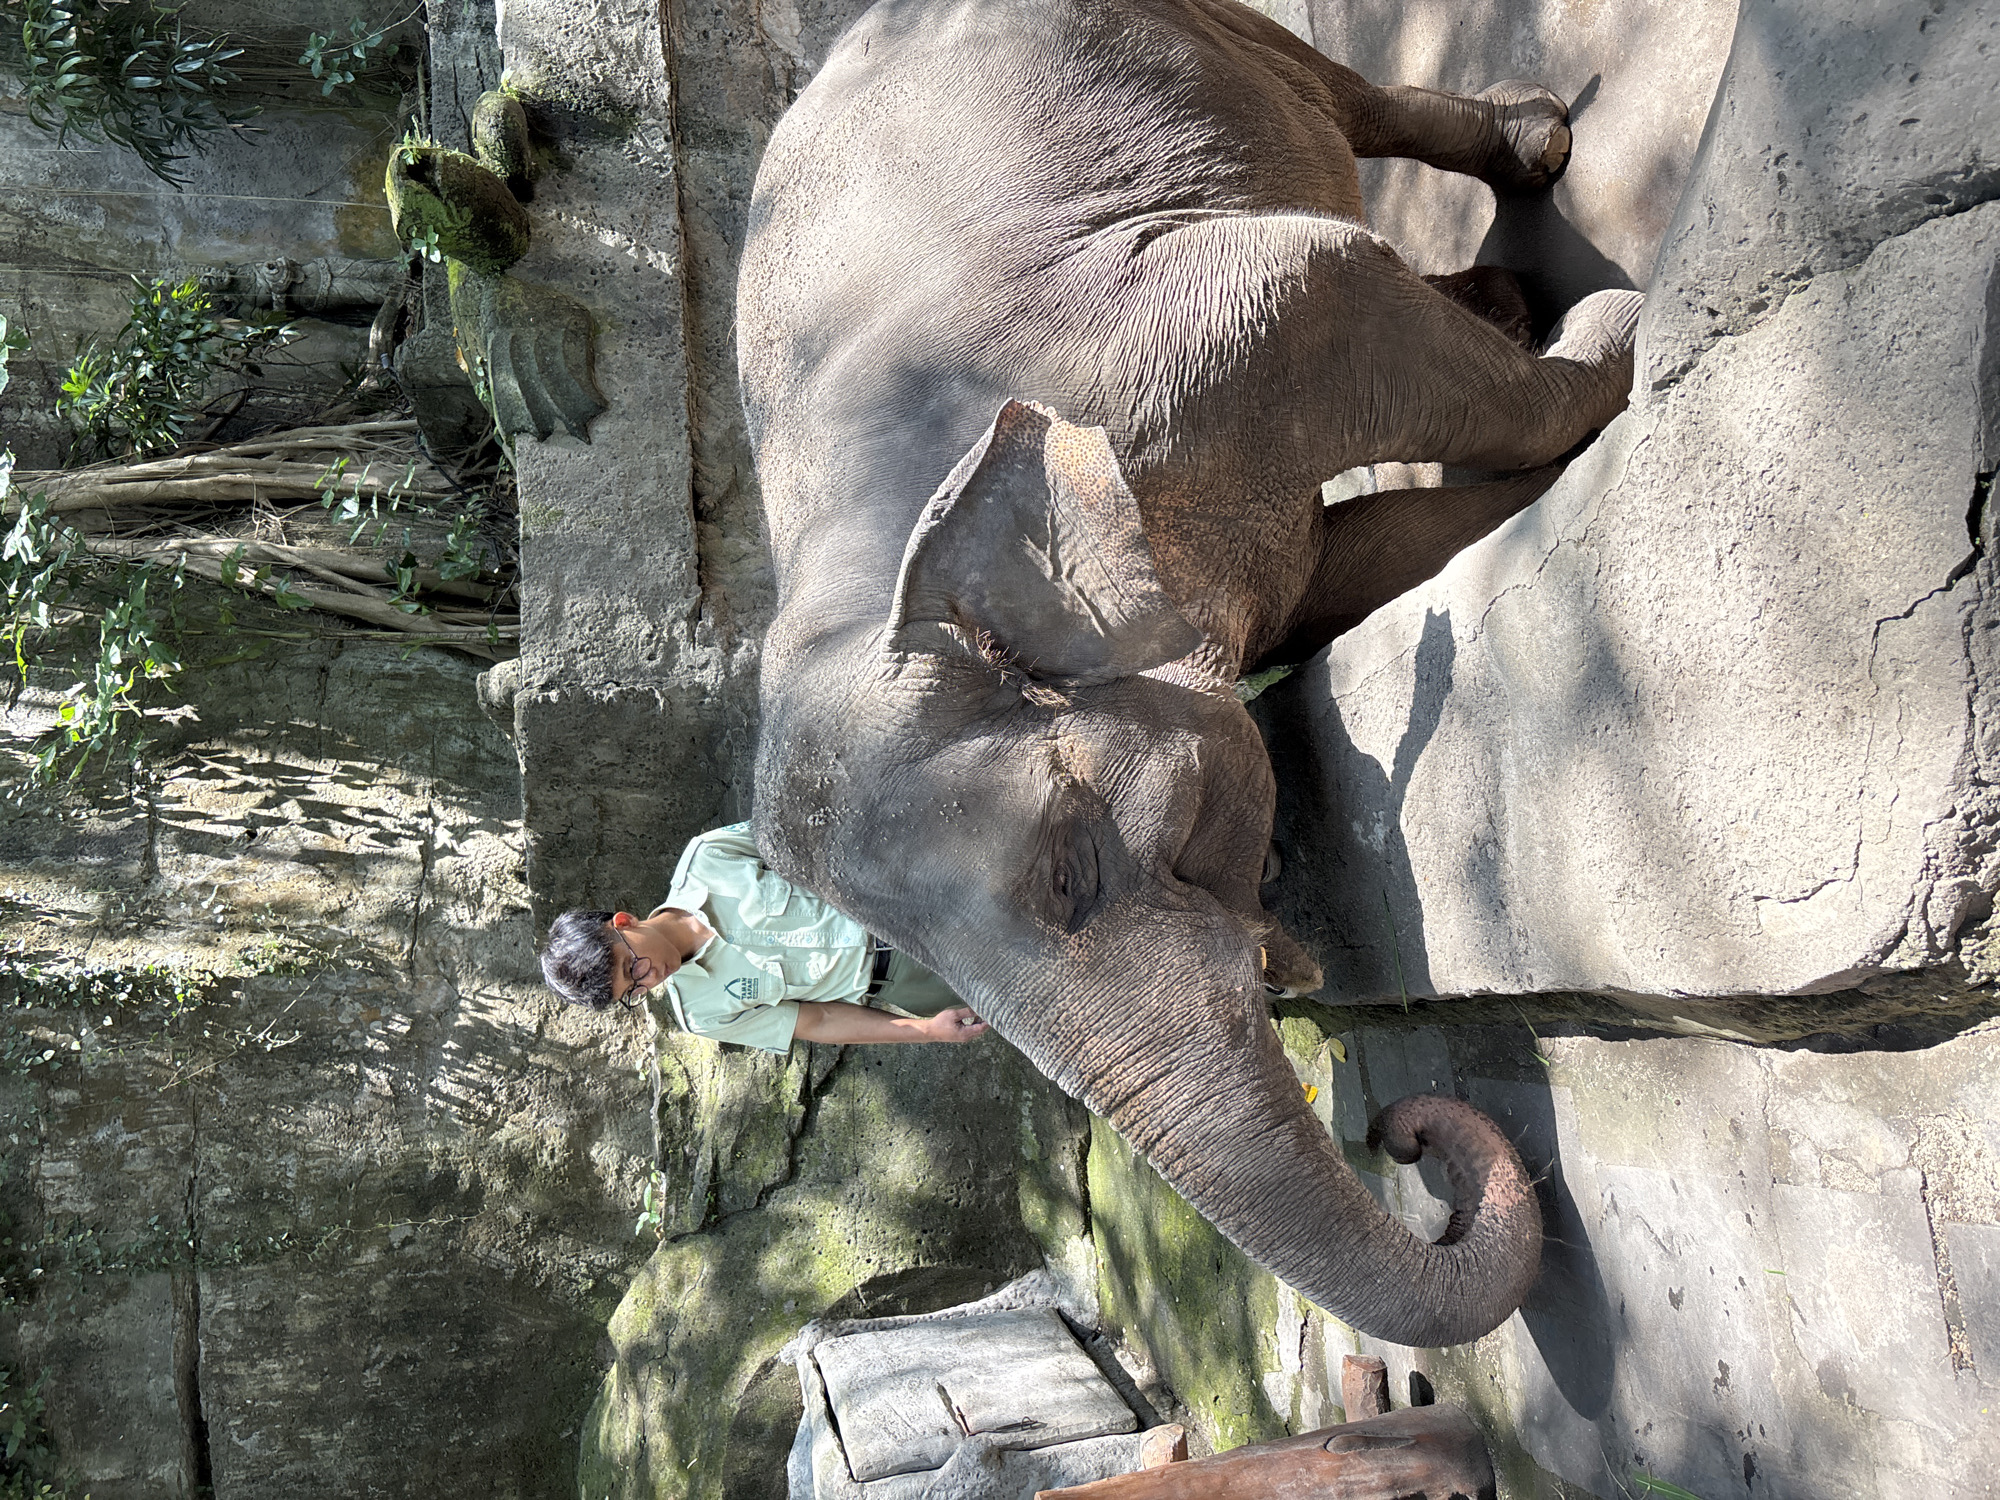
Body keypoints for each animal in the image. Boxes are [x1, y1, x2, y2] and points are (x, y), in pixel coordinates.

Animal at [735, 0, 1641, 1347]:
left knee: (1338, 102)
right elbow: (1344, 561)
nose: (1403, 1136)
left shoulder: (1203, 337)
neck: (855, 587)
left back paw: (1538, 162)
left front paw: (1617, 335)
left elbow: (1327, 279)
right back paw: (1506, 291)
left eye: (1069, 873)